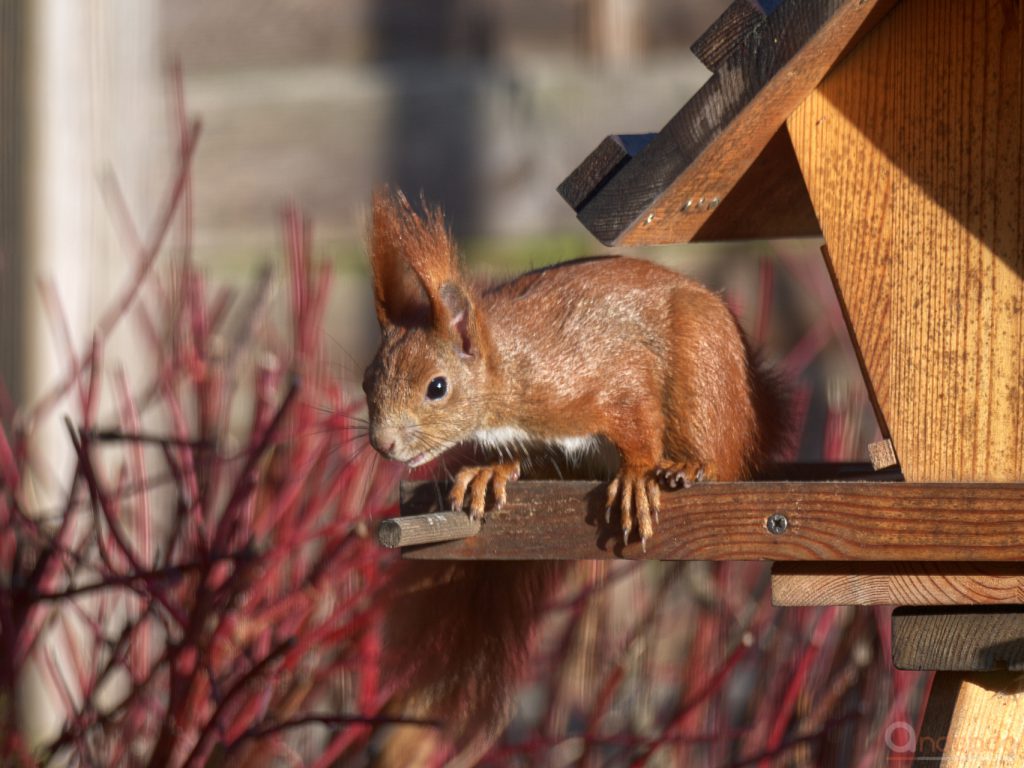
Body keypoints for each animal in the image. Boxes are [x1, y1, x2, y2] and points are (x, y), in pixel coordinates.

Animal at [364, 189, 786, 765]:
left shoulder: (604, 378)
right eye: (367, 381)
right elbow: (530, 458)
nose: (382, 444)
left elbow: (637, 422)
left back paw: (688, 464)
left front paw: (636, 477)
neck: (510, 372)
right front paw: (490, 471)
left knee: (719, 453)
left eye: (437, 387)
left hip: (706, 373)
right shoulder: (537, 437)